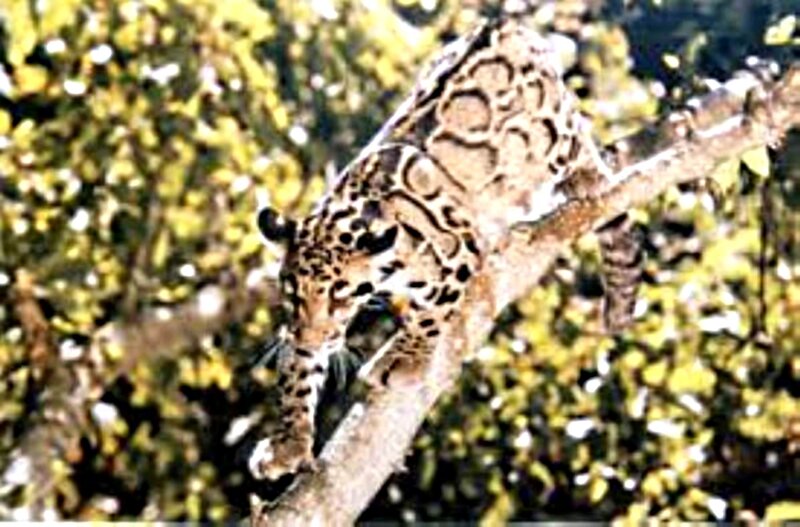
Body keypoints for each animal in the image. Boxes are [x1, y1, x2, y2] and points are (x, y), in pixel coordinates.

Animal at [249, 17, 641, 481]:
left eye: (341, 297)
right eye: (292, 294)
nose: (313, 337)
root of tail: (508, 23)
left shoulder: (457, 250)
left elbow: (431, 315)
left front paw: (403, 357)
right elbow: (298, 371)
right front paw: (288, 442)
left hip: (551, 130)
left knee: (577, 139)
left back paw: (588, 178)